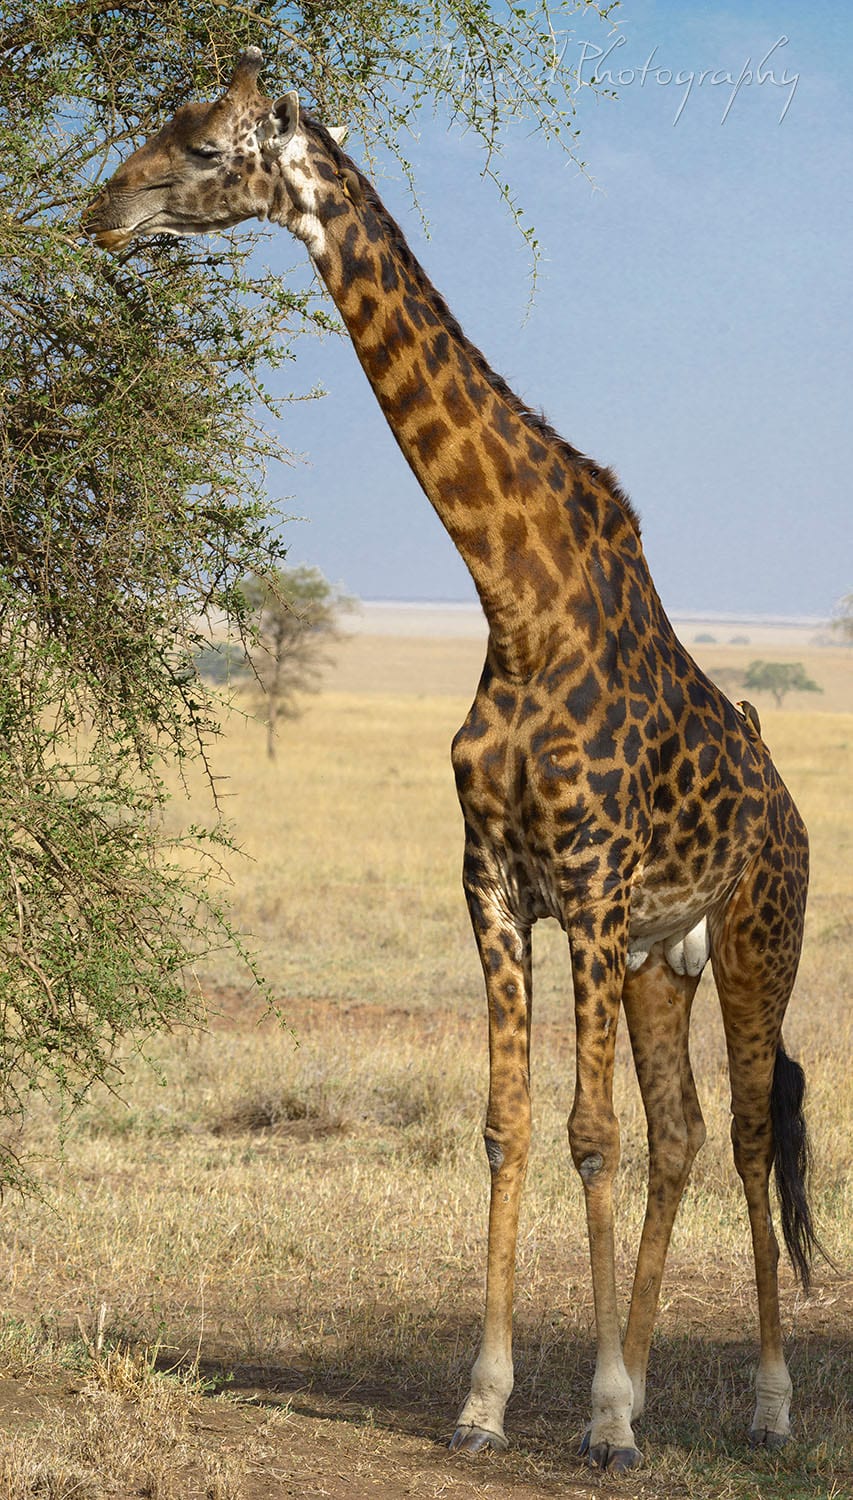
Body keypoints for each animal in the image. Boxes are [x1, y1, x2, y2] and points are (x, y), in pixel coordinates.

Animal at [86, 49, 821, 1471]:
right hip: (664, 959)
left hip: (759, 934)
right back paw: (649, 1373)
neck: (513, 599)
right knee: (683, 1133)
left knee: (753, 1135)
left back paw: (761, 1402)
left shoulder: (586, 885)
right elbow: (508, 1126)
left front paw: (599, 1420)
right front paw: (490, 1402)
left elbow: (586, 1134)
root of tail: (788, 806)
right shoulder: (492, 883)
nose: (102, 209)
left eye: (202, 148)